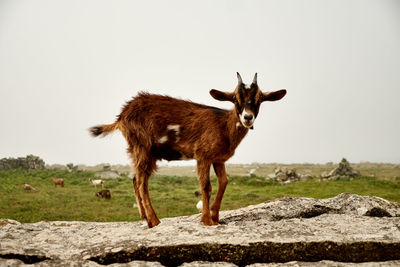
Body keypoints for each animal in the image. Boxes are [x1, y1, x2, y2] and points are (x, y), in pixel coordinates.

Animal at [89, 73, 286, 228]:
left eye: (259, 100)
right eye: (236, 100)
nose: (247, 117)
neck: (223, 125)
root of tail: (121, 115)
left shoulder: (218, 159)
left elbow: (224, 182)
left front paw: (215, 217)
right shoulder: (202, 155)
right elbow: (206, 186)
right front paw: (207, 220)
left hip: (140, 151)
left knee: (135, 179)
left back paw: (145, 218)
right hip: (142, 147)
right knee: (141, 183)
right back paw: (154, 221)